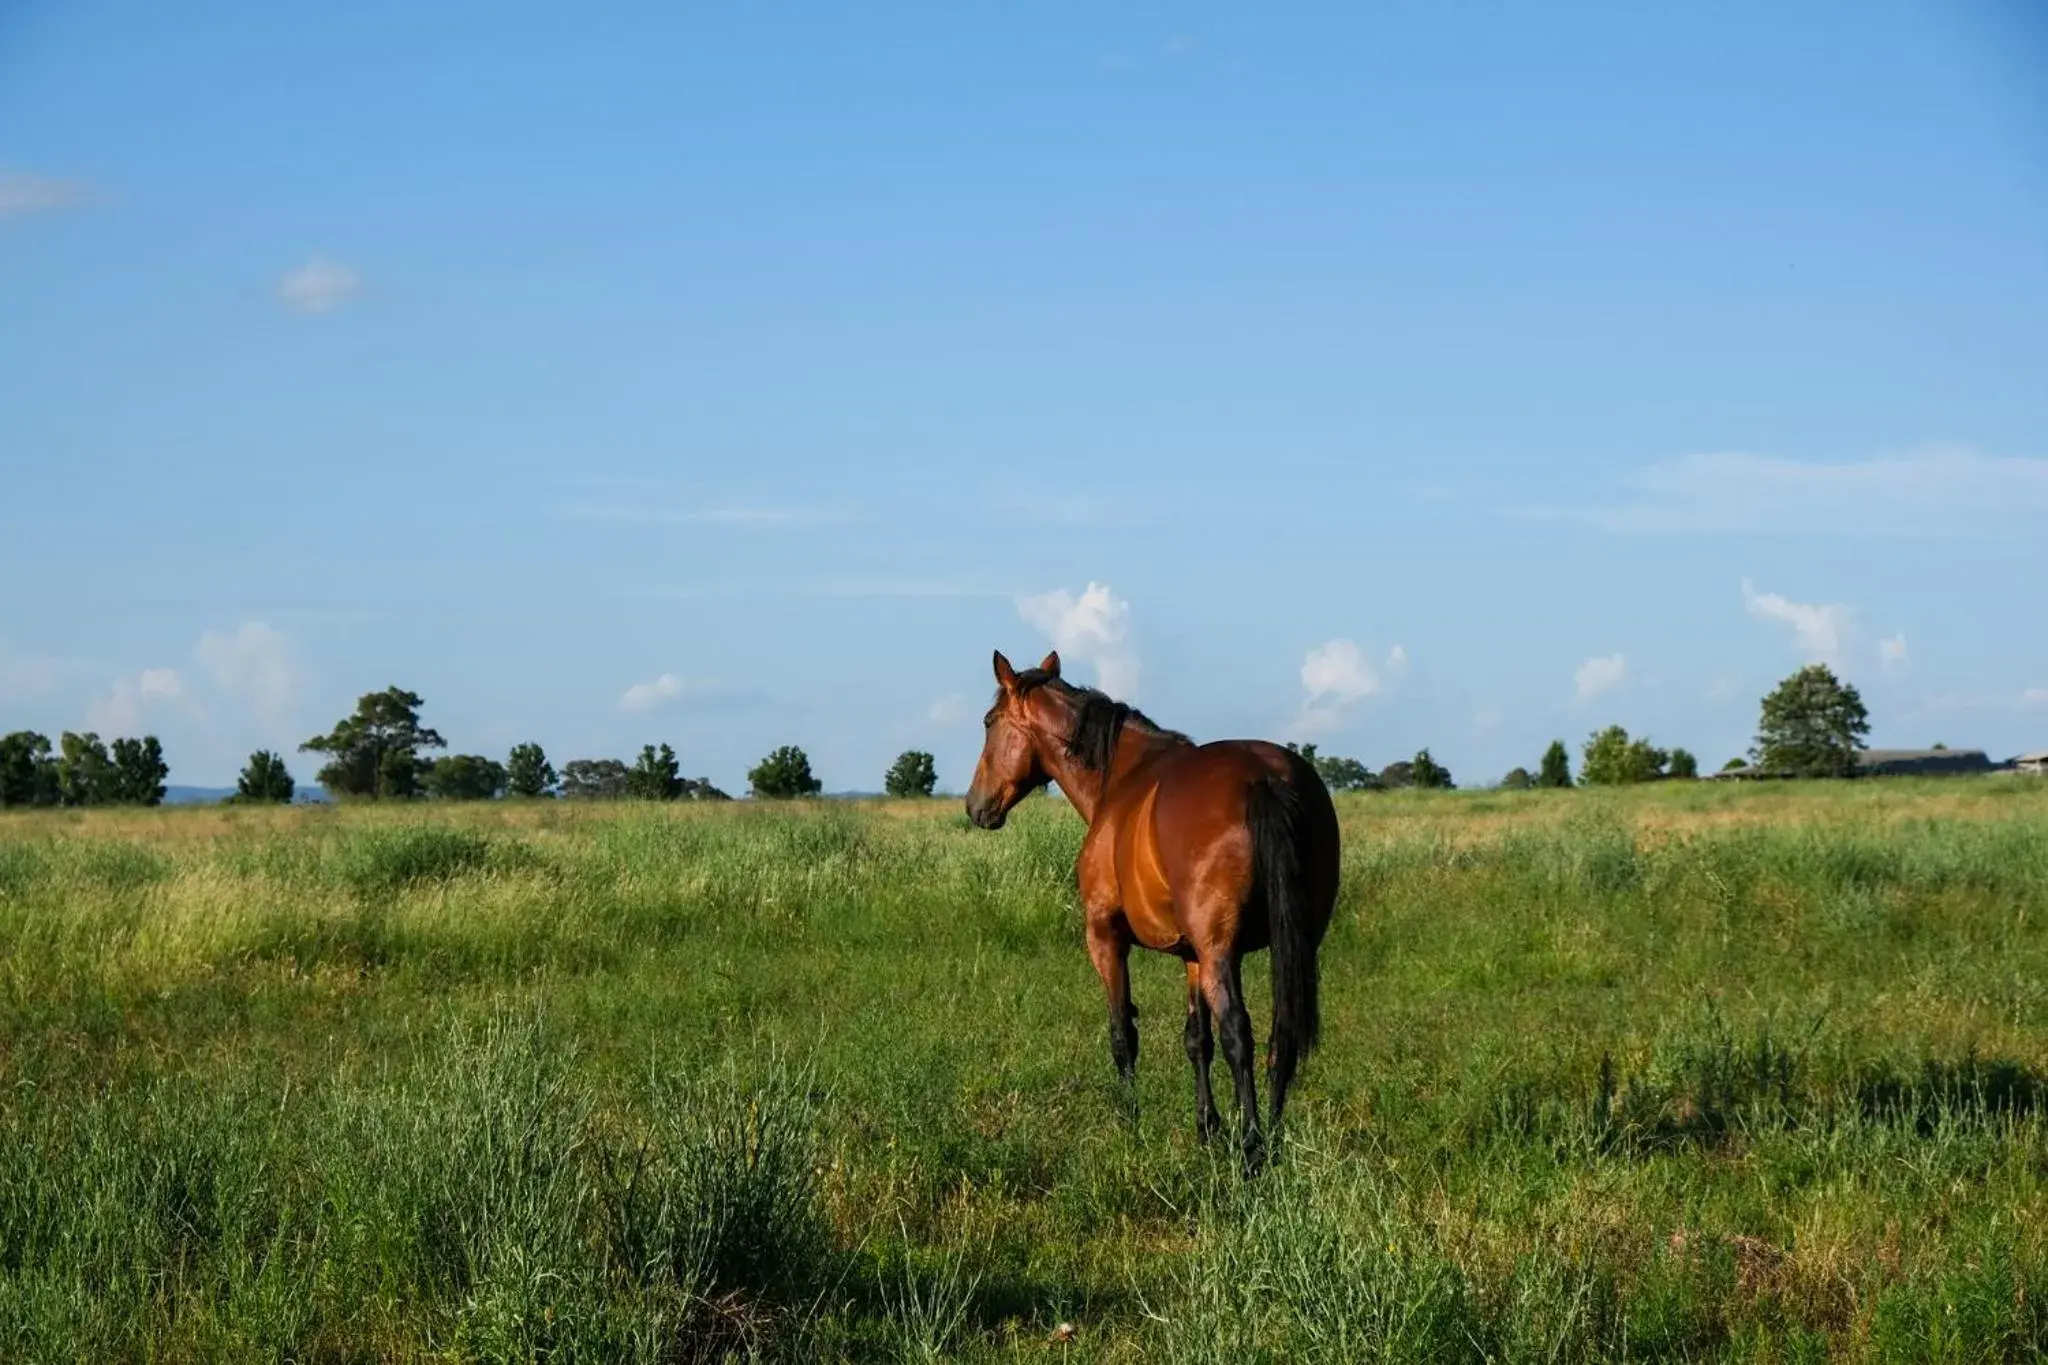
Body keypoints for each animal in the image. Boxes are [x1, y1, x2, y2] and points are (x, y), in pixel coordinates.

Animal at [962, 646, 1343, 1170]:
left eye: (988, 722)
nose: (974, 807)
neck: (1121, 779)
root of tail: (1263, 777)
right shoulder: (1192, 956)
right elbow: (1196, 1040)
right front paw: (1208, 1128)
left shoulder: (1106, 937)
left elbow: (1123, 1033)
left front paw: (1131, 1122)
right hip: (1288, 946)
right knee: (1280, 1037)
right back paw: (1274, 1138)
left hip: (1220, 954)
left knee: (1239, 1034)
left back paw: (1252, 1150)